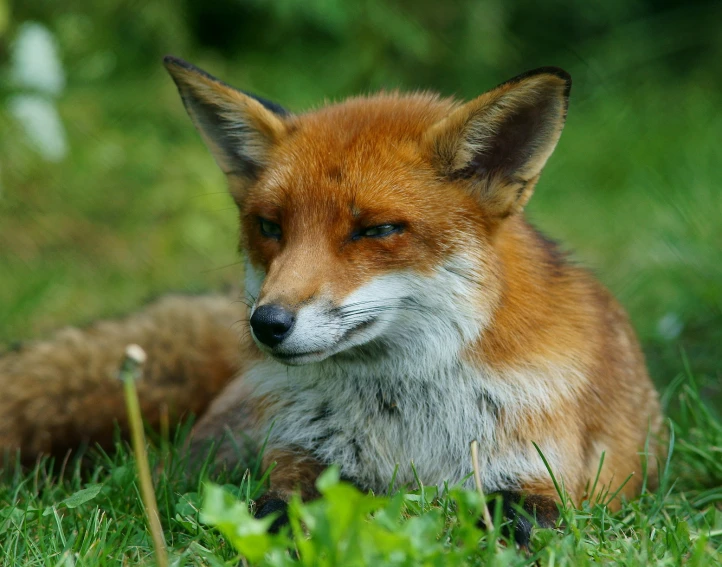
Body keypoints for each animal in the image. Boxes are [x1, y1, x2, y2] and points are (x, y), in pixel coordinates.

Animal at [0, 56, 660, 544]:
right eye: (270, 227)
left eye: (376, 230)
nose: (266, 323)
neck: (406, 425)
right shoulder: (300, 463)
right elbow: (271, 513)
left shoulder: (545, 482)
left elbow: (509, 523)